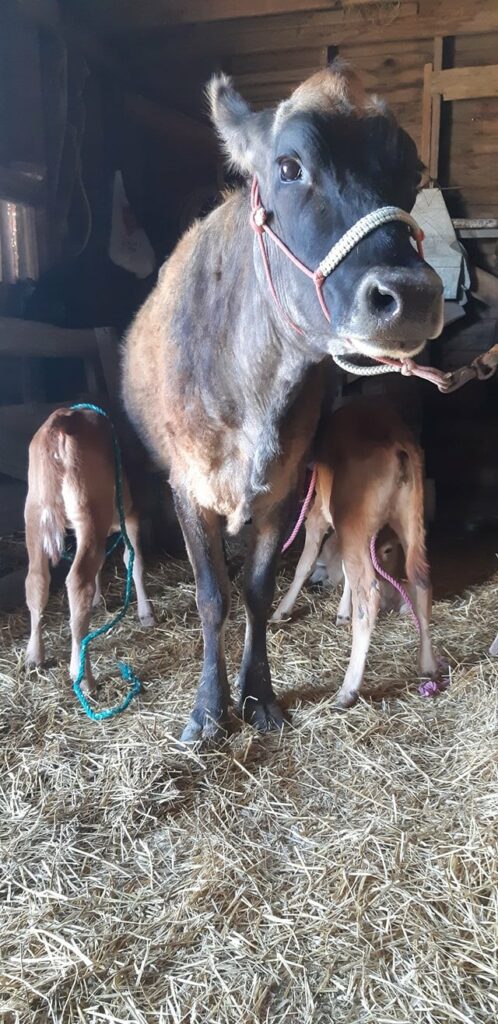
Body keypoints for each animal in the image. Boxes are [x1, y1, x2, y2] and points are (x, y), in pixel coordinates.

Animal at [24, 403, 153, 692]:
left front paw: (99, 600)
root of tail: (61, 421)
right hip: (90, 511)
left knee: (36, 579)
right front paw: (146, 613)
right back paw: (83, 676)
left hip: (34, 513)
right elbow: (134, 560)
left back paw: (34, 656)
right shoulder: (131, 515)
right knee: (77, 581)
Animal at [270, 397, 438, 704]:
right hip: (412, 522)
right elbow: (347, 574)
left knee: (369, 596)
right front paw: (342, 613)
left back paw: (348, 689)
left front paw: (281, 611)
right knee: (420, 581)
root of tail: (397, 444)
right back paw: (428, 665)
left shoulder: (318, 514)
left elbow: (305, 564)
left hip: (356, 524)